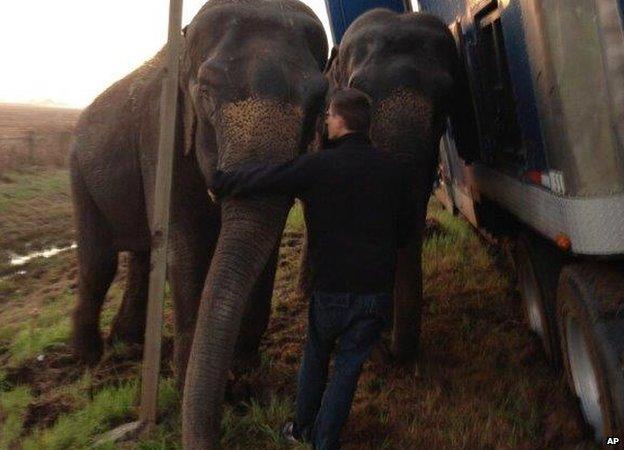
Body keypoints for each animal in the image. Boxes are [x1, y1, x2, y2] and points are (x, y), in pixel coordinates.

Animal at [69, 0, 326, 436]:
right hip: (79, 176)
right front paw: (186, 386)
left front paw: (242, 374)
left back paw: (127, 344)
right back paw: (87, 359)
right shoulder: (161, 130)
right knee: (99, 263)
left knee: (142, 255)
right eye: (205, 94)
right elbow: (187, 244)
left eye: (318, 102)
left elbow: (264, 246)